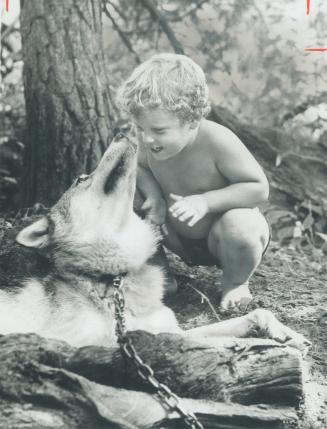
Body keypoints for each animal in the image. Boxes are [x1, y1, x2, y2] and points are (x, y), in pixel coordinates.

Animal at [0, 134, 310, 352]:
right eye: (80, 179)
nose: (121, 132)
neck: (116, 277)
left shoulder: (171, 331)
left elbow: (256, 314)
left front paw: (287, 333)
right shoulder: (115, 344)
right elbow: (218, 344)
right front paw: (268, 343)